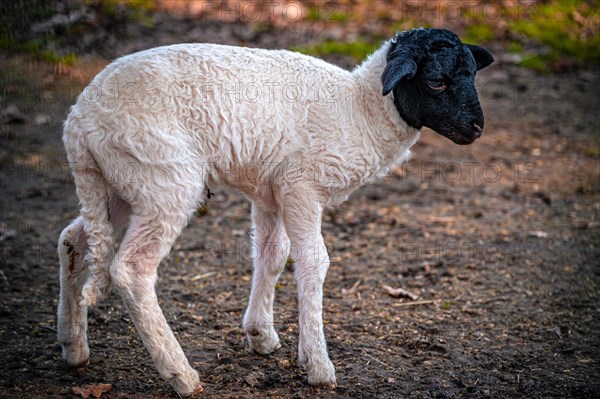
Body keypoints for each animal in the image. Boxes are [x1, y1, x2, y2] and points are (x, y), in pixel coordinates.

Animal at [58, 28, 494, 396]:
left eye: (472, 74)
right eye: (436, 81)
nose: (476, 128)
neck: (359, 111)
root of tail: (78, 125)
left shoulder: (271, 191)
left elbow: (272, 253)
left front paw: (260, 334)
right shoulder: (301, 187)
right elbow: (313, 262)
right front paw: (318, 365)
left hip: (117, 184)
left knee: (74, 239)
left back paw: (73, 346)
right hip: (164, 179)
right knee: (131, 269)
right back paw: (181, 375)